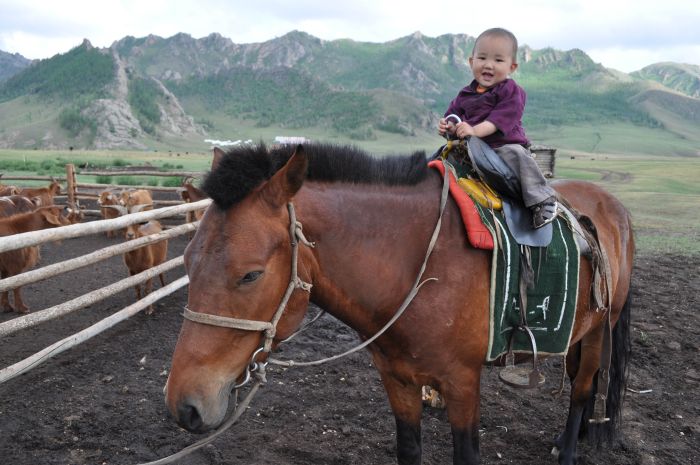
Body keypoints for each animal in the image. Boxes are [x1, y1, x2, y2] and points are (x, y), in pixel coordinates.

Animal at [164, 143, 636, 462]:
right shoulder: (397, 378)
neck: (417, 268)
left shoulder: (463, 382)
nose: (185, 407)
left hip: (601, 328)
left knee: (582, 389)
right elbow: (408, 448)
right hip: (577, 330)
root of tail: (611, 206)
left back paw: (569, 448)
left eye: (250, 274)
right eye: (187, 260)